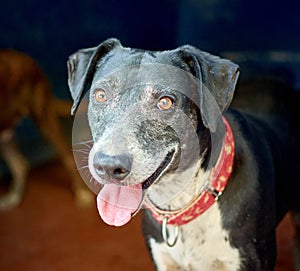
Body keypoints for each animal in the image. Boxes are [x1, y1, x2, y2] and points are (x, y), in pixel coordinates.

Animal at [0, 49, 91, 210]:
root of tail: (26, 57)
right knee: (19, 165)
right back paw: (12, 198)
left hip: (44, 119)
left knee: (67, 157)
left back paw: (82, 194)